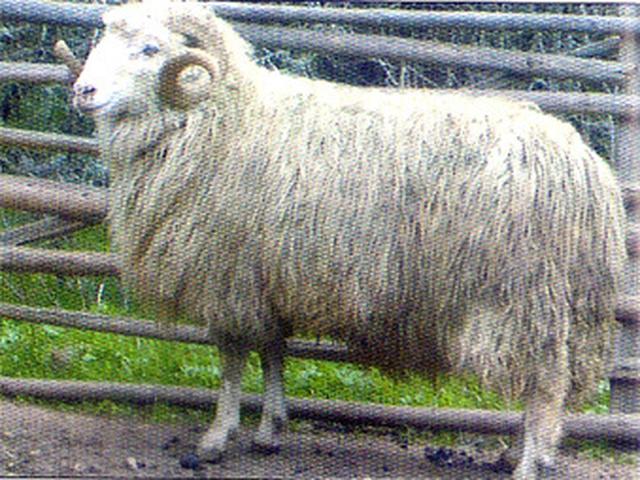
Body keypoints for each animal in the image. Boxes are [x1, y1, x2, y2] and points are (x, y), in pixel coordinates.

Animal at [71, 1, 626, 478]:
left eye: (151, 49)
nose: (83, 92)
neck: (218, 119)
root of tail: (585, 171)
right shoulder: (269, 277)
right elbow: (273, 351)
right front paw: (270, 430)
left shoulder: (226, 276)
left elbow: (231, 363)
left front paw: (215, 439)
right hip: (558, 302)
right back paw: (519, 453)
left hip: (521, 297)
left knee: (545, 385)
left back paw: (529, 463)